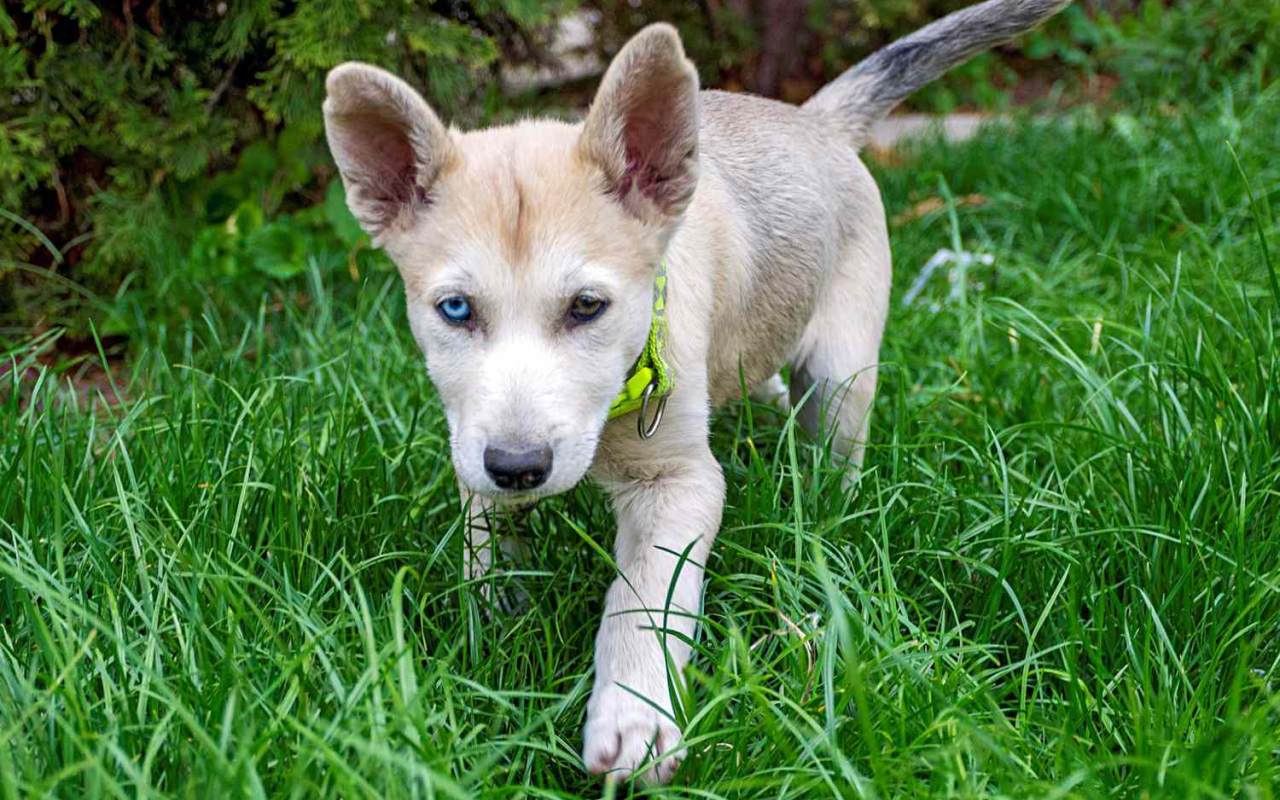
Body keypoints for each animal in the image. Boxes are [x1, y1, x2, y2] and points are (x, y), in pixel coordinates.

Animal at [322, 0, 1070, 778]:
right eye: (455, 309)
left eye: (587, 306)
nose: (520, 467)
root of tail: (816, 120)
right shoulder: (474, 446)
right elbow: (488, 548)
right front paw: (495, 626)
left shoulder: (680, 483)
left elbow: (644, 600)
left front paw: (634, 714)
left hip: (840, 372)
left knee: (834, 446)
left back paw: (827, 513)